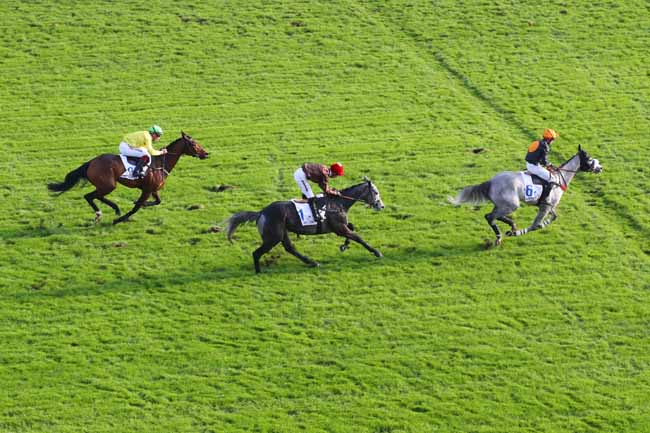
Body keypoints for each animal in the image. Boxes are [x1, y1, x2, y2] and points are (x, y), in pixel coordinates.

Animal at [47, 131, 208, 226]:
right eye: (194, 144)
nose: (206, 153)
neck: (160, 164)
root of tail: (91, 162)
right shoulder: (147, 190)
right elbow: (136, 208)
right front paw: (119, 219)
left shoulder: (153, 190)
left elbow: (157, 202)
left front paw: (141, 204)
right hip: (109, 185)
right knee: (89, 196)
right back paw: (102, 213)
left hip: (105, 185)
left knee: (95, 196)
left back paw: (114, 209)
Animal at [225, 177, 382, 272]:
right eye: (375, 192)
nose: (381, 206)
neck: (339, 202)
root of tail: (261, 212)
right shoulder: (339, 228)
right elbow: (358, 237)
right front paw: (376, 252)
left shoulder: (340, 227)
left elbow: (352, 228)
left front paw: (344, 245)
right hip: (273, 237)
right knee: (257, 253)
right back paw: (258, 271)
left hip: (282, 233)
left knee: (290, 248)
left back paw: (312, 262)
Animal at [448, 145, 600, 245]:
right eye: (589, 158)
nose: (600, 167)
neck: (559, 178)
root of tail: (491, 181)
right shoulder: (545, 207)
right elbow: (534, 225)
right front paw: (523, 231)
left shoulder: (549, 206)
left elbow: (553, 217)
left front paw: (542, 224)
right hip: (512, 205)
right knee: (490, 217)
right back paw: (501, 236)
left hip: (502, 205)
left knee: (492, 216)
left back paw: (511, 227)